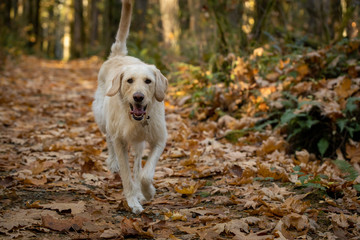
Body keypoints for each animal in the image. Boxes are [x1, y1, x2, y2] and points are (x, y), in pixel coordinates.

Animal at [92, 0, 167, 214]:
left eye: (148, 81)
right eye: (129, 80)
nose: (138, 97)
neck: (137, 120)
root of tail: (117, 55)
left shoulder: (159, 139)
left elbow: (145, 174)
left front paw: (147, 192)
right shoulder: (120, 141)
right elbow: (126, 174)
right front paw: (133, 201)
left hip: (139, 142)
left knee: (139, 162)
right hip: (103, 119)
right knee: (108, 139)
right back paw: (113, 163)